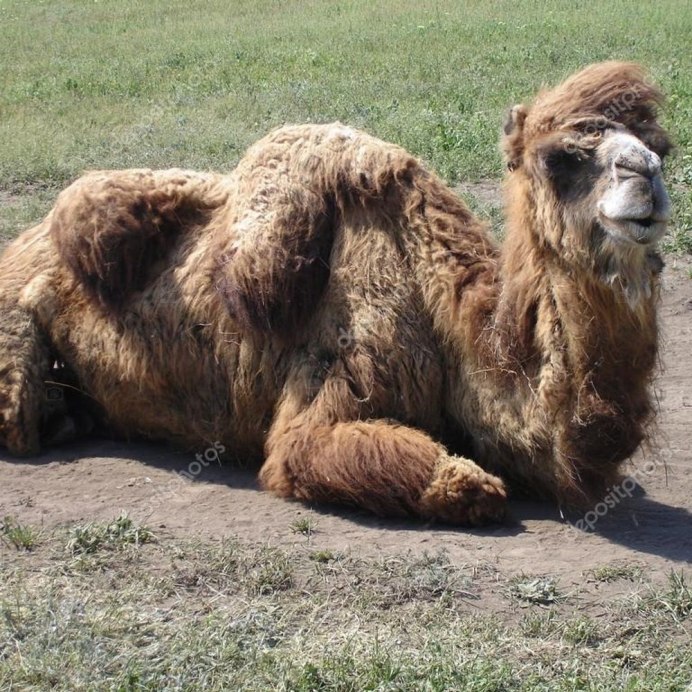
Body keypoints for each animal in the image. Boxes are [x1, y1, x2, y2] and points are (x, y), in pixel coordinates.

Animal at [0, 62, 672, 525]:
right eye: (559, 157)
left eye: (661, 146)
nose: (646, 175)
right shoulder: (338, 371)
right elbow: (443, 480)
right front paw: (468, 483)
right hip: (14, 325)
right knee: (14, 420)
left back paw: (70, 415)